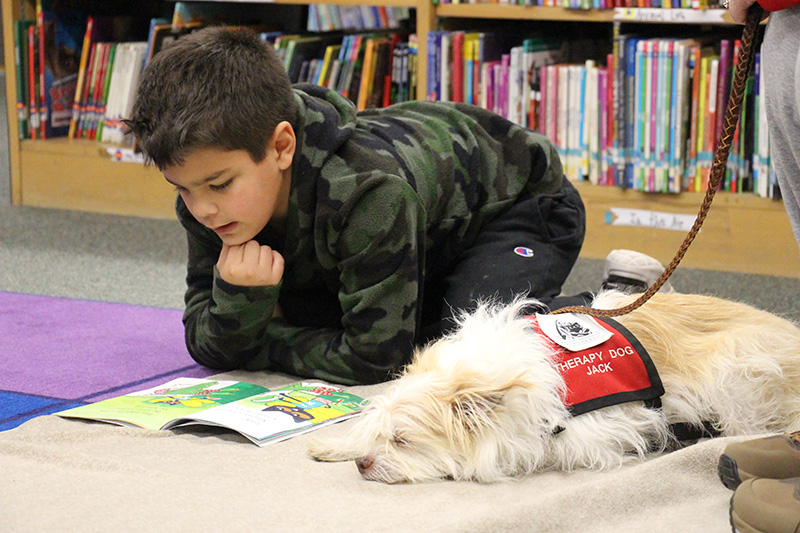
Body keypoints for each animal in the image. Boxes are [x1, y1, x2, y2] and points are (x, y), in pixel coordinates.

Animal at [308, 290, 800, 482]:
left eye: (404, 441)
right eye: (381, 435)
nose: (364, 464)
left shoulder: (598, 433)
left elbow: (535, 449)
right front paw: (338, 446)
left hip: (737, 371)